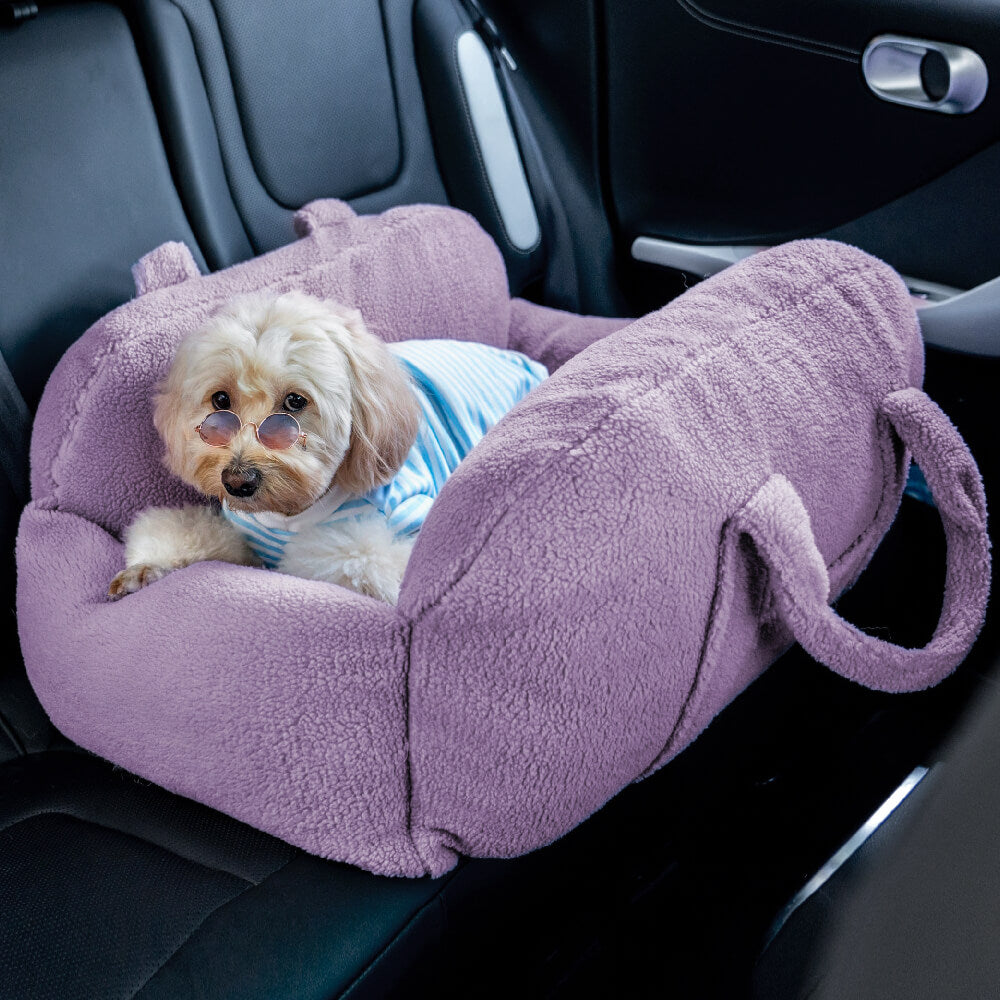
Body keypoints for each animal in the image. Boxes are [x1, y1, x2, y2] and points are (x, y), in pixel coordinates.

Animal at [108, 288, 544, 600]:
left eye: (295, 402)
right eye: (220, 401)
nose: (238, 482)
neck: (289, 514)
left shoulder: (399, 523)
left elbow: (357, 560)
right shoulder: (241, 530)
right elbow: (193, 532)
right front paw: (145, 569)